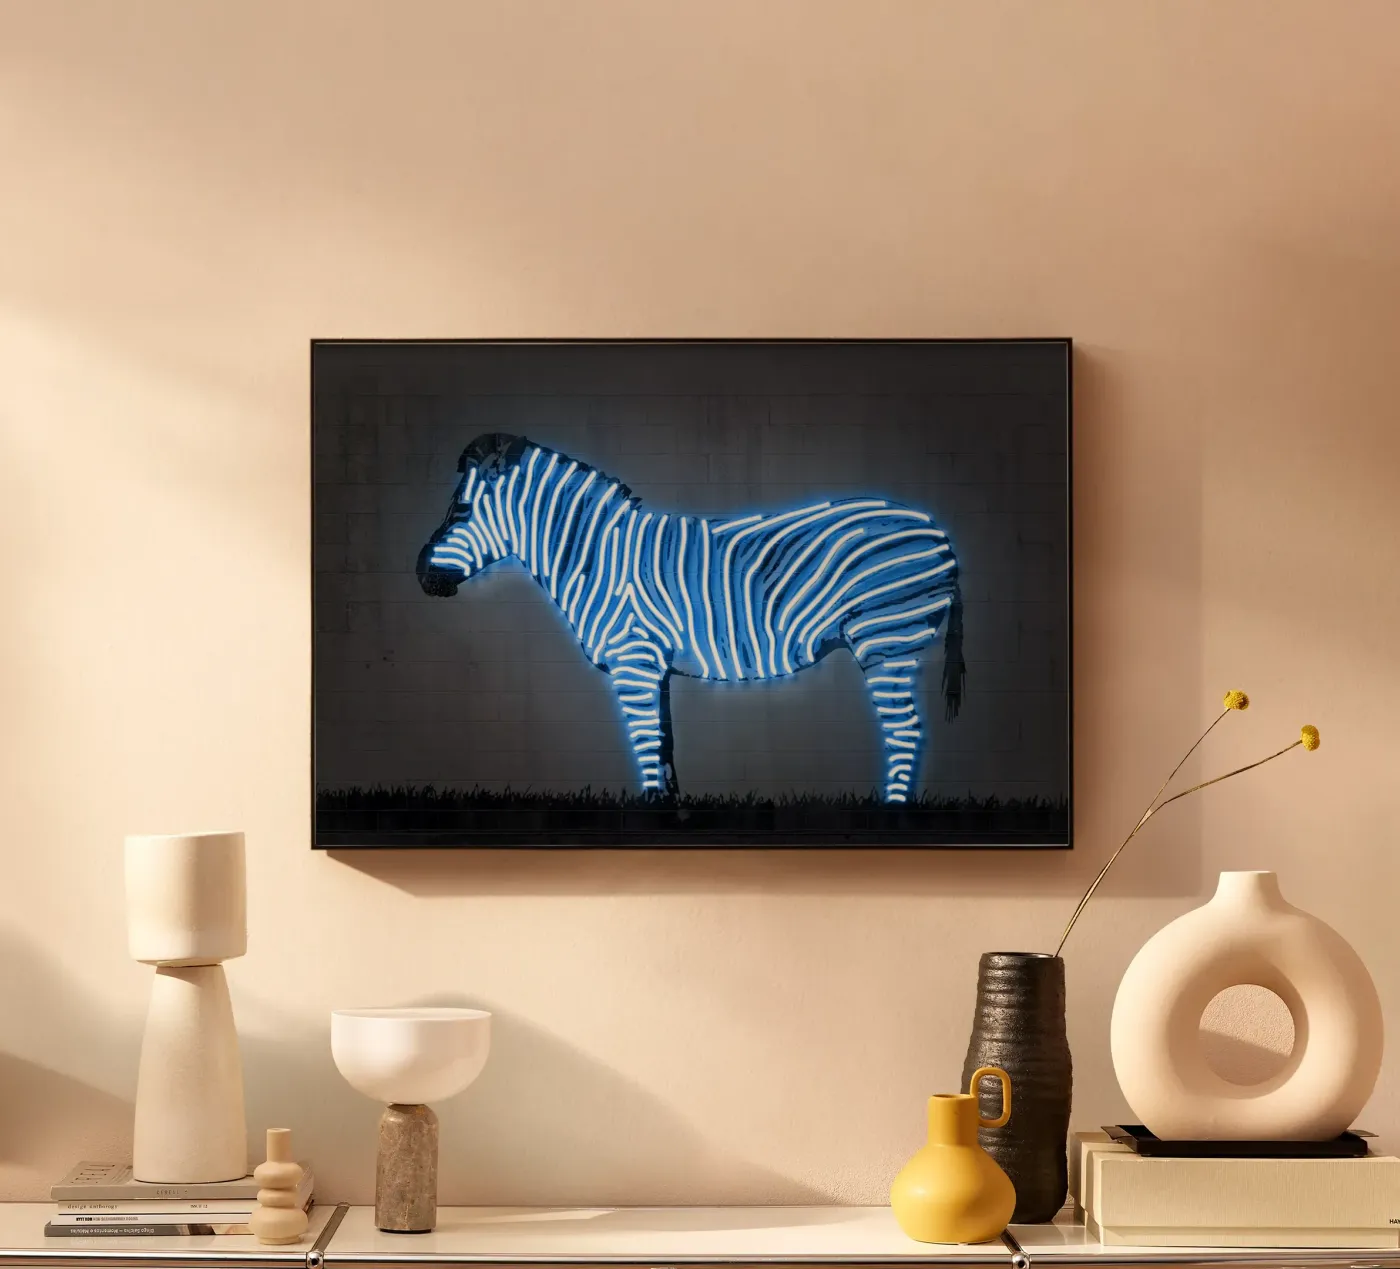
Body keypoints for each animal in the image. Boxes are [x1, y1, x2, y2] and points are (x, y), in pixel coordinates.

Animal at [416, 433, 965, 803]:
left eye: (460, 510)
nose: (421, 576)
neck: (595, 554)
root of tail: (938, 530)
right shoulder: (653, 668)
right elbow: (663, 746)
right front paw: (668, 813)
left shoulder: (634, 661)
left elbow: (643, 743)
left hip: (886, 637)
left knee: (906, 732)